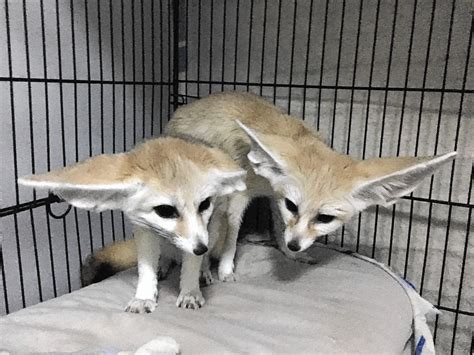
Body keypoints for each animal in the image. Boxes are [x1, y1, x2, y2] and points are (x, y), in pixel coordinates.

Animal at [16, 138, 246, 312]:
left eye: (205, 204)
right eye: (165, 210)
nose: (200, 248)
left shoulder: (203, 230)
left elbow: (191, 265)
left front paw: (190, 292)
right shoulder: (143, 229)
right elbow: (146, 268)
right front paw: (144, 296)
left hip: (214, 230)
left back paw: (203, 271)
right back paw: (164, 265)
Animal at [166, 90, 456, 280]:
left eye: (325, 218)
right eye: (294, 206)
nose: (296, 245)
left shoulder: (275, 197)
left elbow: (279, 225)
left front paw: (289, 252)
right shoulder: (239, 198)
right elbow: (231, 235)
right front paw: (226, 268)